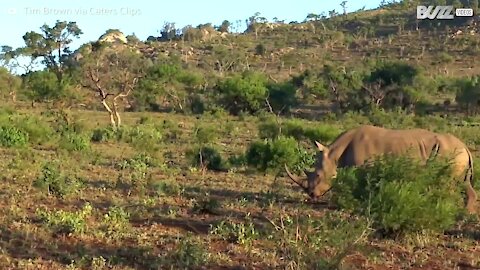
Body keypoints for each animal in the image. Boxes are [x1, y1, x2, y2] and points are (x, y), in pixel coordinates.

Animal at [284, 124, 476, 213]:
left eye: (317, 175)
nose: (311, 194)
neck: (334, 154)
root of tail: (465, 147)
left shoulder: (364, 168)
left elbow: (364, 187)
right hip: (454, 153)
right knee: (463, 183)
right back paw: (464, 212)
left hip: (450, 153)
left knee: (449, 182)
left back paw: (447, 209)